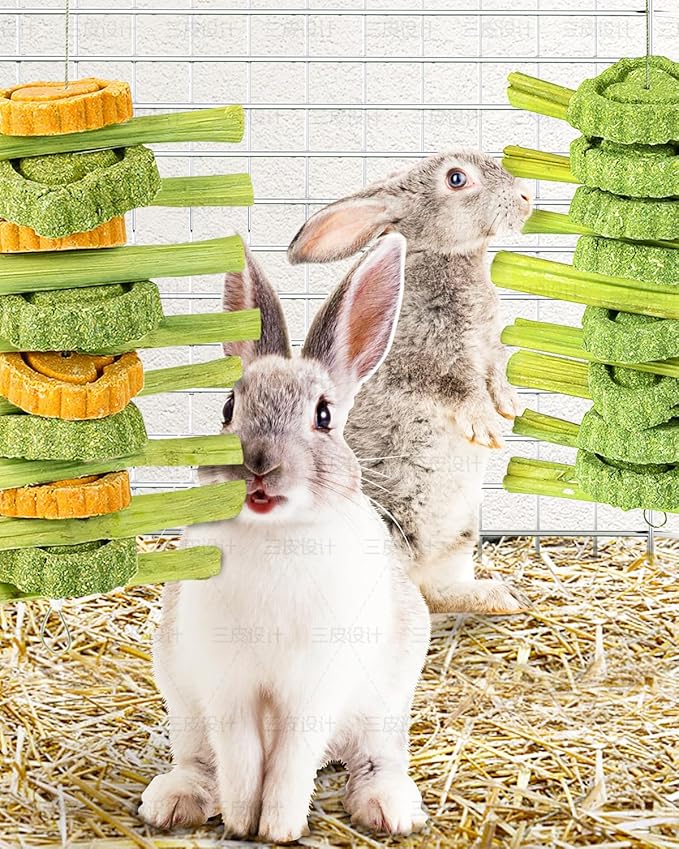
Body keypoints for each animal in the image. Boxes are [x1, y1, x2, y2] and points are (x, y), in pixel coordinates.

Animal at [138, 233, 431, 843]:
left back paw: (389, 809)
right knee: (198, 761)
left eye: (324, 416)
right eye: (228, 408)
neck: (274, 533)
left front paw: (276, 828)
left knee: (376, 758)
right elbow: (243, 760)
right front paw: (242, 823)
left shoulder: (312, 688)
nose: (259, 465)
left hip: (386, 702)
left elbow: (291, 760)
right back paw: (174, 802)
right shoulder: (228, 688)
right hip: (182, 700)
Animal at [287, 151, 533, 616]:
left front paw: (510, 406)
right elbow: (459, 389)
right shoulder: (430, 358)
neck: (448, 257)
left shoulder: (490, 348)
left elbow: (496, 373)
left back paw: (499, 596)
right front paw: (486, 426)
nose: (527, 196)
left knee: (438, 590)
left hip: (460, 537)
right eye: (456, 179)